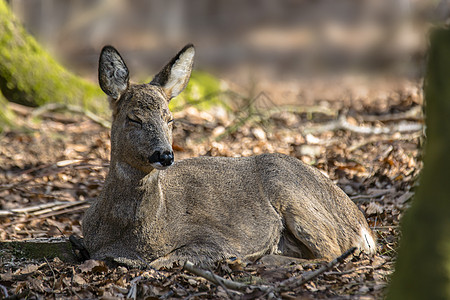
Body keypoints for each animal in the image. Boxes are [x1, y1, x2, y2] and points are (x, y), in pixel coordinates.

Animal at [81, 43, 376, 268]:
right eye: (134, 118)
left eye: (170, 119)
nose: (165, 155)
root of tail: (363, 225)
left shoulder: (216, 237)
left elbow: (162, 261)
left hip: (292, 192)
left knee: (331, 252)